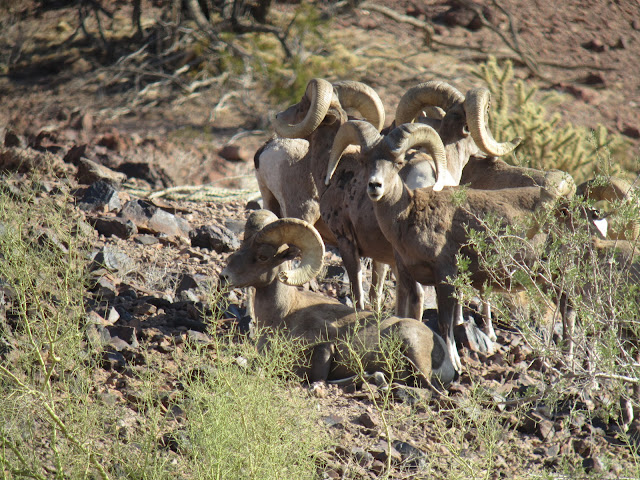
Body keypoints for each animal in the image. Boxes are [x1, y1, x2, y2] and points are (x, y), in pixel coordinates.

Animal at [219, 209, 457, 389]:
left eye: (263, 256)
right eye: (241, 246)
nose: (224, 276)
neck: (283, 315)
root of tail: (446, 360)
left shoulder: (325, 347)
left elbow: (315, 377)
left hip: (412, 347)